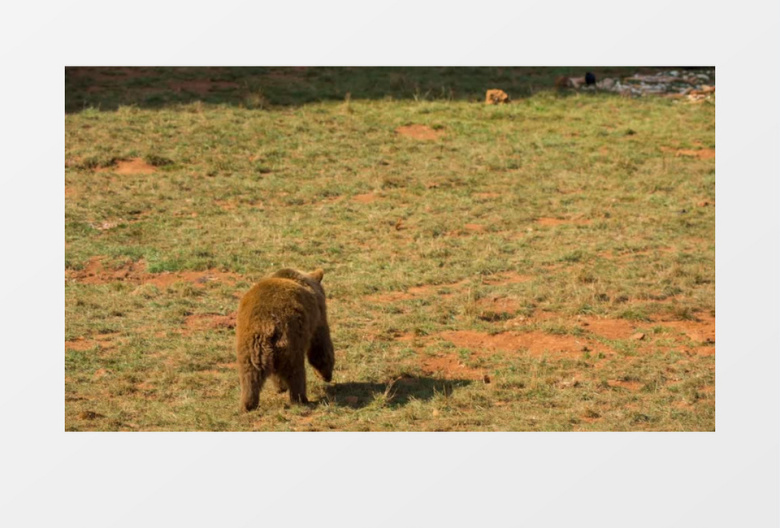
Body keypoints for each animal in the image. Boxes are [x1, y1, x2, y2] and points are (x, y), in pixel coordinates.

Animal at [235, 268, 335, 412]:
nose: (328, 377)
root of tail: (266, 325)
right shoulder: (317, 318)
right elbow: (320, 345)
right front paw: (325, 374)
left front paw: (280, 387)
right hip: (291, 340)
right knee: (295, 371)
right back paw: (300, 399)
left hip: (250, 346)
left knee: (250, 375)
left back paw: (248, 404)